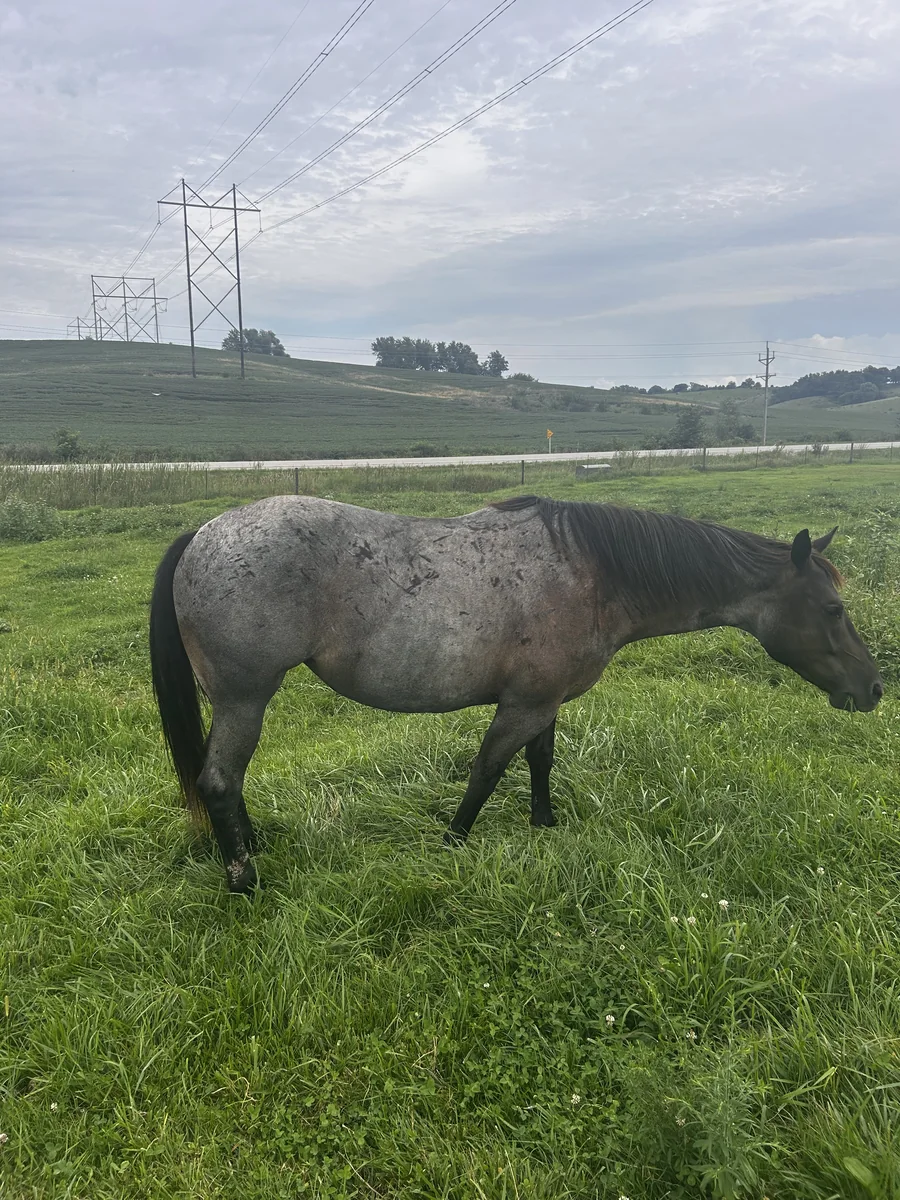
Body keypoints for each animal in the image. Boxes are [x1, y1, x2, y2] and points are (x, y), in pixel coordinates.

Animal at [149, 494, 883, 893]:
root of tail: (202, 534)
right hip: (246, 698)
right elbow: (486, 771)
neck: (593, 573)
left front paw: (544, 825)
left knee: (224, 778)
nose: (874, 688)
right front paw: (452, 845)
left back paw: (251, 851)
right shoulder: (523, 704)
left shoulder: (545, 700)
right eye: (833, 609)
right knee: (219, 780)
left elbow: (539, 762)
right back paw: (244, 880)